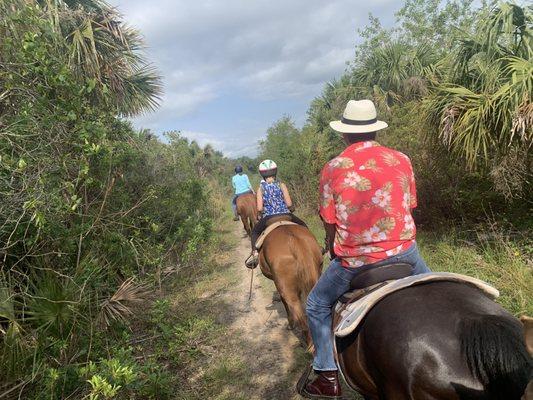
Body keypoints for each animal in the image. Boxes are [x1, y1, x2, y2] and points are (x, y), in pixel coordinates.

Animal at [256, 214, 320, 348]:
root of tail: (294, 241)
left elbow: (283, 301)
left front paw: (291, 325)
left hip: (287, 289)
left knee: (297, 310)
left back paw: (307, 342)